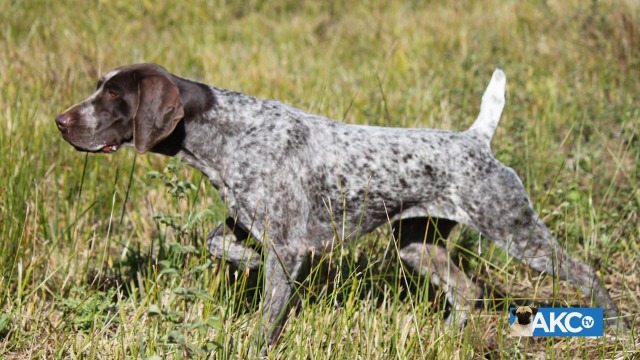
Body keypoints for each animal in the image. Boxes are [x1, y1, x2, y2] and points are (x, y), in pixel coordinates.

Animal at [56, 64, 624, 346]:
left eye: (113, 97)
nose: (61, 121)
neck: (223, 133)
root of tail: (475, 141)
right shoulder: (247, 225)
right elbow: (220, 245)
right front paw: (245, 262)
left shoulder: (289, 248)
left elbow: (267, 319)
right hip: (418, 246)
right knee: (466, 292)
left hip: (516, 231)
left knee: (585, 272)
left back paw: (616, 324)